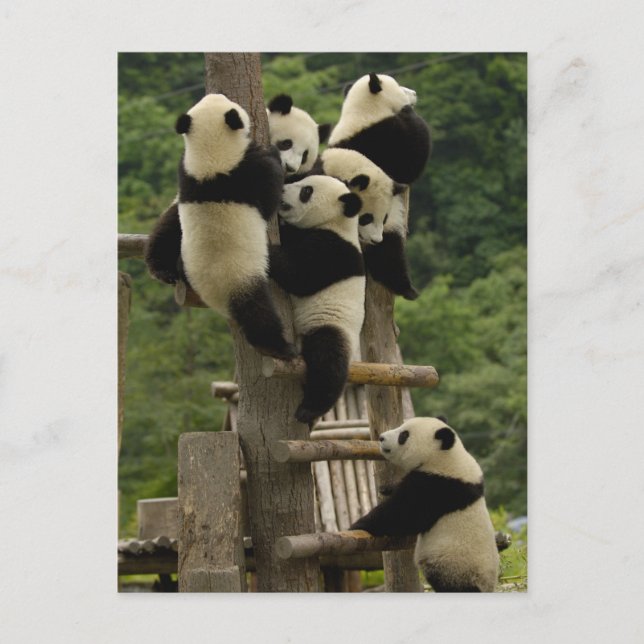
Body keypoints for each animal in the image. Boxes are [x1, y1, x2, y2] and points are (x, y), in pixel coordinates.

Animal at [167, 93, 297, 361]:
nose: (215, 93)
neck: (210, 157)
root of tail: (211, 296)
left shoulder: (186, 172)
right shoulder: (246, 173)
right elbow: (269, 197)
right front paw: (272, 153)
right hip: (241, 279)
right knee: (258, 314)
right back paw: (278, 347)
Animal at [269, 175, 365, 424]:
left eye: (306, 191)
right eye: (300, 180)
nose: (282, 190)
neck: (337, 222)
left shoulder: (335, 251)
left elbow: (299, 274)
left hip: (330, 325)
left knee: (328, 361)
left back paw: (309, 410)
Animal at [351, 417, 500, 592]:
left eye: (403, 435)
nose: (381, 438)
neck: (446, 456)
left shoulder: (437, 487)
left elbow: (402, 514)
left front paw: (357, 525)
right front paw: (387, 489)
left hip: (456, 567)